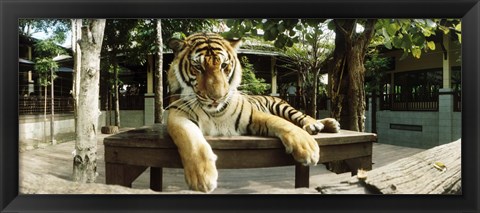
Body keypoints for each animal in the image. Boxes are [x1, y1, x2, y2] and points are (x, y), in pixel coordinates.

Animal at [167, 32, 340, 193]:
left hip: (283, 107)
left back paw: (320, 125)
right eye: (198, 67)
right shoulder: (177, 114)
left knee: (303, 117)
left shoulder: (252, 115)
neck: (215, 112)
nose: (218, 97)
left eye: (224, 65)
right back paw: (329, 124)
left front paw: (308, 147)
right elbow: (190, 140)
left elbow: (283, 124)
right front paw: (202, 177)